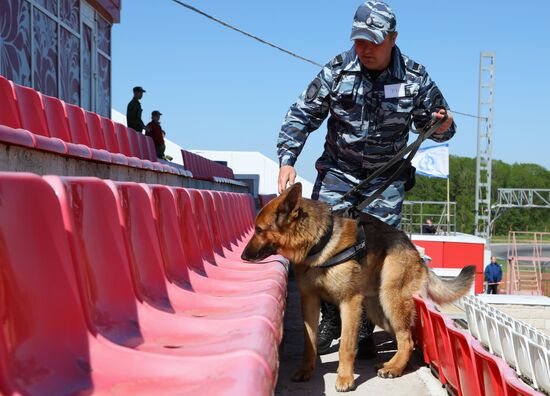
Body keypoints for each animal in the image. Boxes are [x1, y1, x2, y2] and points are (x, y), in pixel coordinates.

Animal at [244, 184, 476, 392]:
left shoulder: (349, 302)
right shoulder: (309, 300)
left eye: (259, 230)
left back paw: (394, 368)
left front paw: (345, 378)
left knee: (407, 339)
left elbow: (346, 345)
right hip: (376, 309)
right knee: (404, 338)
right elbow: (309, 341)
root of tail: (411, 245)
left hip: (390, 300)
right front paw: (306, 370)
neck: (320, 242)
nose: (243, 256)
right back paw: (390, 363)